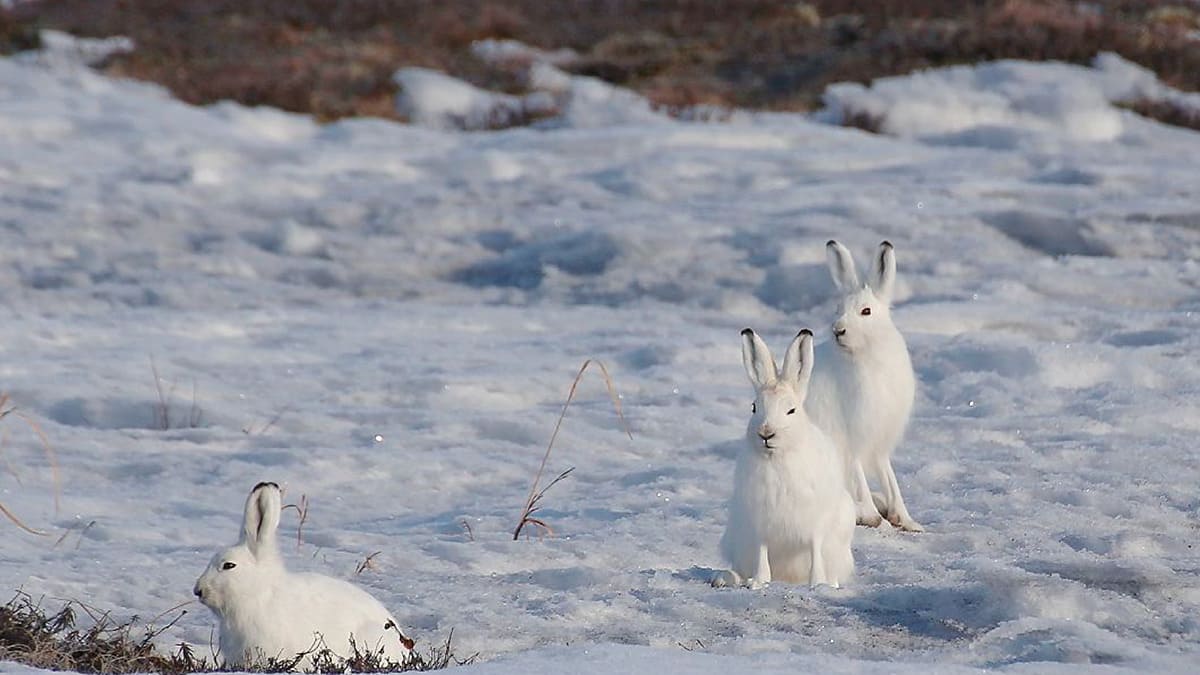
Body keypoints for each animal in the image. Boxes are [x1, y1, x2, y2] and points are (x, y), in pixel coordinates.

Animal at [712, 328, 855, 589]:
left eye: (791, 410)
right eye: (754, 408)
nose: (766, 433)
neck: (777, 457)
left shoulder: (815, 524)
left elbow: (815, 550)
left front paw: (818, 584)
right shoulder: (760, 525)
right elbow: (762, 554)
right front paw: (758, 582)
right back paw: (725, 578)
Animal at [805, 240, 924, 532]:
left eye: (866, 311)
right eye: (838, 309)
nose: (838, 330)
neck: (867, 354)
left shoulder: (880, 441)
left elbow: (889, 477)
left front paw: (908, 521)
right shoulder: (853, 435)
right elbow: (859, 475)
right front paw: (874, 518)